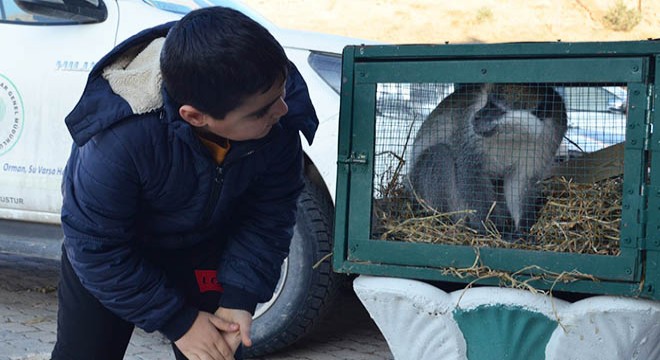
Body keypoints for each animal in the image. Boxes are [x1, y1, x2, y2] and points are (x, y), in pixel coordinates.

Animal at [408, 83, 568, 240]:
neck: (514, 136)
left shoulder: (549, 135)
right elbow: (471, 173)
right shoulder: (471, 132)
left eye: (495, 108)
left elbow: (521, 181)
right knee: (440, 154)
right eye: (487, 102)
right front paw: (492, 227)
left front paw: (523, 227)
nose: (476, 116)